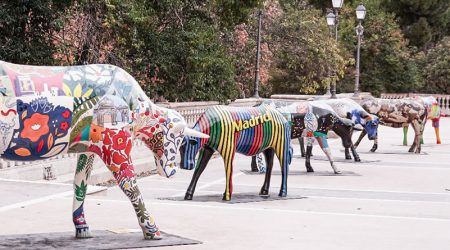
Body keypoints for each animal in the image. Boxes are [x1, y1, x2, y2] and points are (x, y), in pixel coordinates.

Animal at [0, 59, 207, 239]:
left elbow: (80, 184)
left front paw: (82, 228)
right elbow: (130, 185)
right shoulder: (115, 148)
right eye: (178, 135)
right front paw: (152, 230)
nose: (172, 171)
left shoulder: (87, 150)